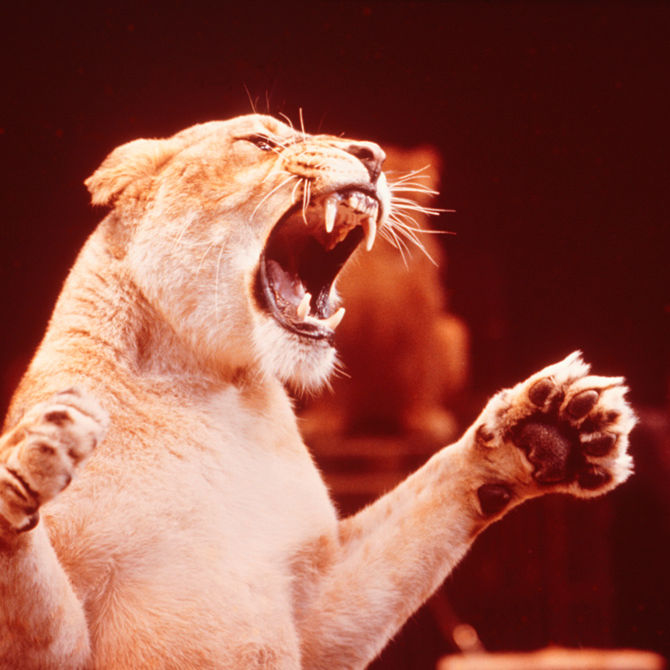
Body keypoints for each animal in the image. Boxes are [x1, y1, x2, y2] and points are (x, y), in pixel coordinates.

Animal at [0, 114, 636, 669]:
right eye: (259, 140)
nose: (373, 155)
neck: (207, 389)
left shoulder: (317, 599)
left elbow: (426, 501)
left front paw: (552, 427)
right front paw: (23, 465)